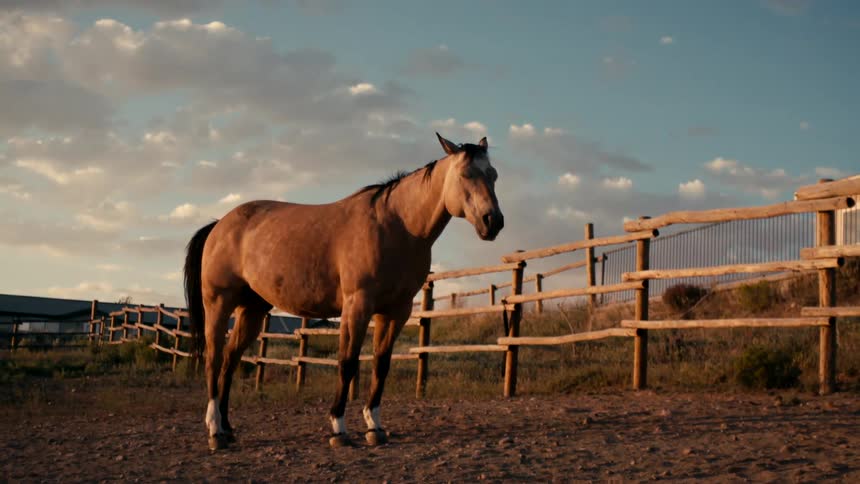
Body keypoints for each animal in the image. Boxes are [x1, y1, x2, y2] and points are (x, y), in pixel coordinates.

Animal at [184, 133, 504, 450]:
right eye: (465, 174)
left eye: (493, 175)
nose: (493, 222)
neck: (397, 226)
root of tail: (220, 225)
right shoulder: (357, 306)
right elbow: (347, 362)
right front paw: (338, 428)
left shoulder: (395, 311)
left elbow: (381, 364)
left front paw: (375, 426)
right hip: (219, 303)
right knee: (214, 359)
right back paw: (215, 431)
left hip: (252, 310)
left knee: (229, 361)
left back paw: (228, 429)